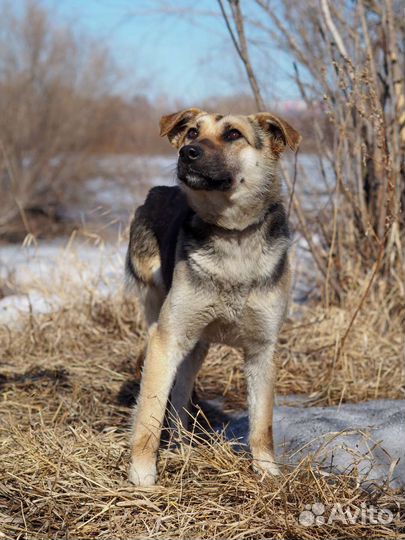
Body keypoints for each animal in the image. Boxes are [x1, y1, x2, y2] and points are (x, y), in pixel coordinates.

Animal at [126, 107, 300, 488]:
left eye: (233, 134)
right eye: (193, 132)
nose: (186, 153)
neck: (232, 234)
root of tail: (156, 191)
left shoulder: (262, 351)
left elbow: (262, 425)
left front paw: (267, 472)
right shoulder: (168, 338)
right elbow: (149, 414)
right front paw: (142, 475)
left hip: (197, 346)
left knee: (180, 396)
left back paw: (182, 445)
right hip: (162, 319)